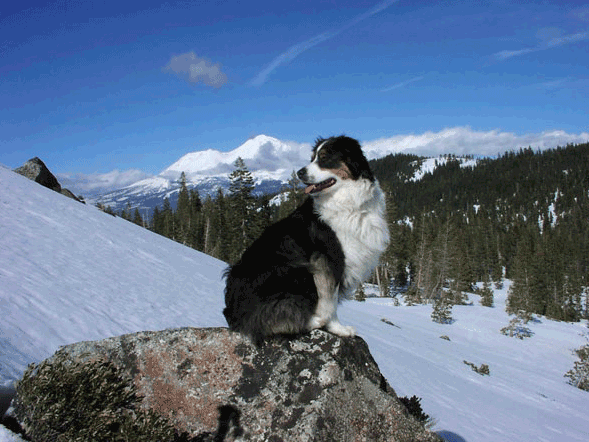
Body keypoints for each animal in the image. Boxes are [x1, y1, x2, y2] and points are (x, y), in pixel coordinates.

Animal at [223, 136, 388, 344]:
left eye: (324, 157)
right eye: (312, 158)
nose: (300, 172)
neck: (347, 202)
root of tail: (234, 314)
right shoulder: (328, 260)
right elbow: (329, 302)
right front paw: (338, 328)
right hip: (296, 271)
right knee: (270, 320)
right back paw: (314, 320)